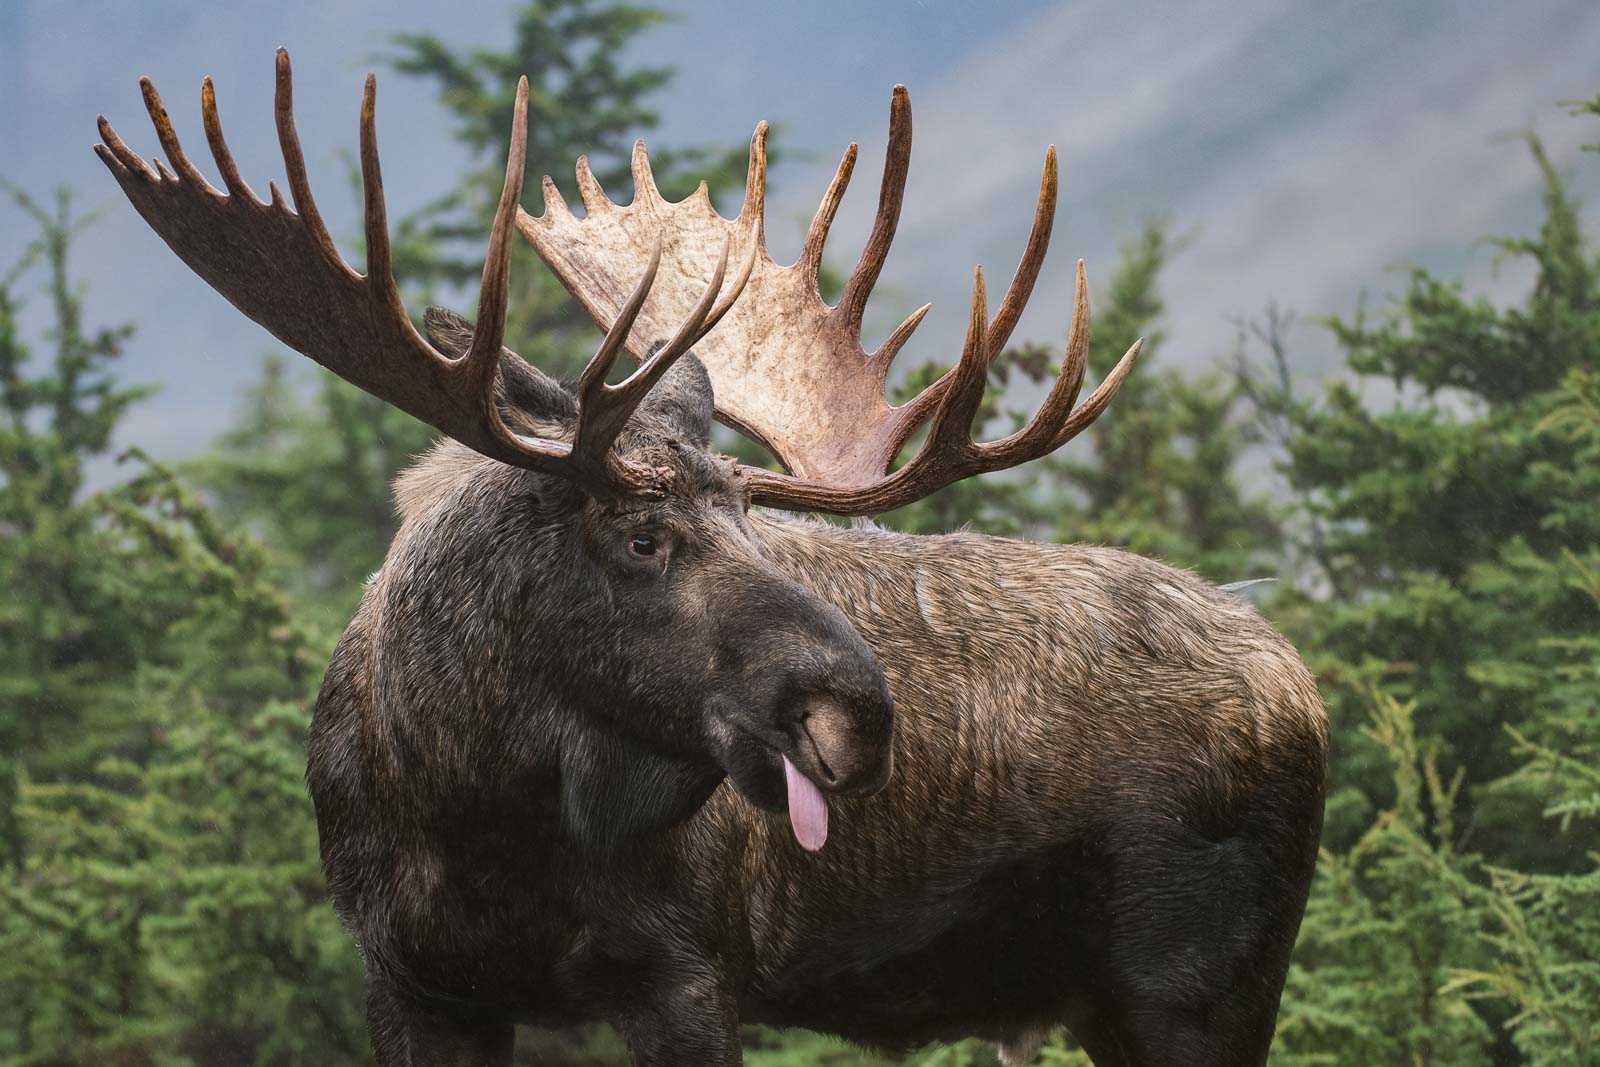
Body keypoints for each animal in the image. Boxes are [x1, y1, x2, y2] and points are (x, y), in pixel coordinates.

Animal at [96, 47, 1324, 1067]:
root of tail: (1303, 686)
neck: (474, 811)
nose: (858, 716)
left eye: (749, 521)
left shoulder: (684, 969)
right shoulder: (412, 981)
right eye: (642, 534)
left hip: (1198, 980)